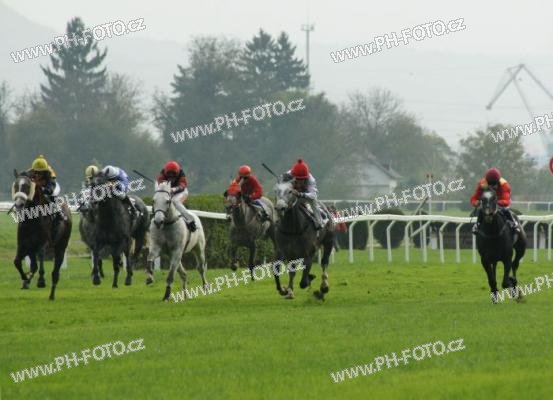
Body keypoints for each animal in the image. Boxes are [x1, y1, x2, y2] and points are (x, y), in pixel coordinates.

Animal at [11, 170, 72, 300]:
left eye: (27, 186)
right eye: (16, 185)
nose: (19, 204)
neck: (32, 219)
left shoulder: (44, 242)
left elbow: (41, 254)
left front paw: (41, 280)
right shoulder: (23, 244)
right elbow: (17, 261)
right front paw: (25, 279)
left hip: (61, 246)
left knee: (55, 272)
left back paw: (52, 295)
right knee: (34, 265)